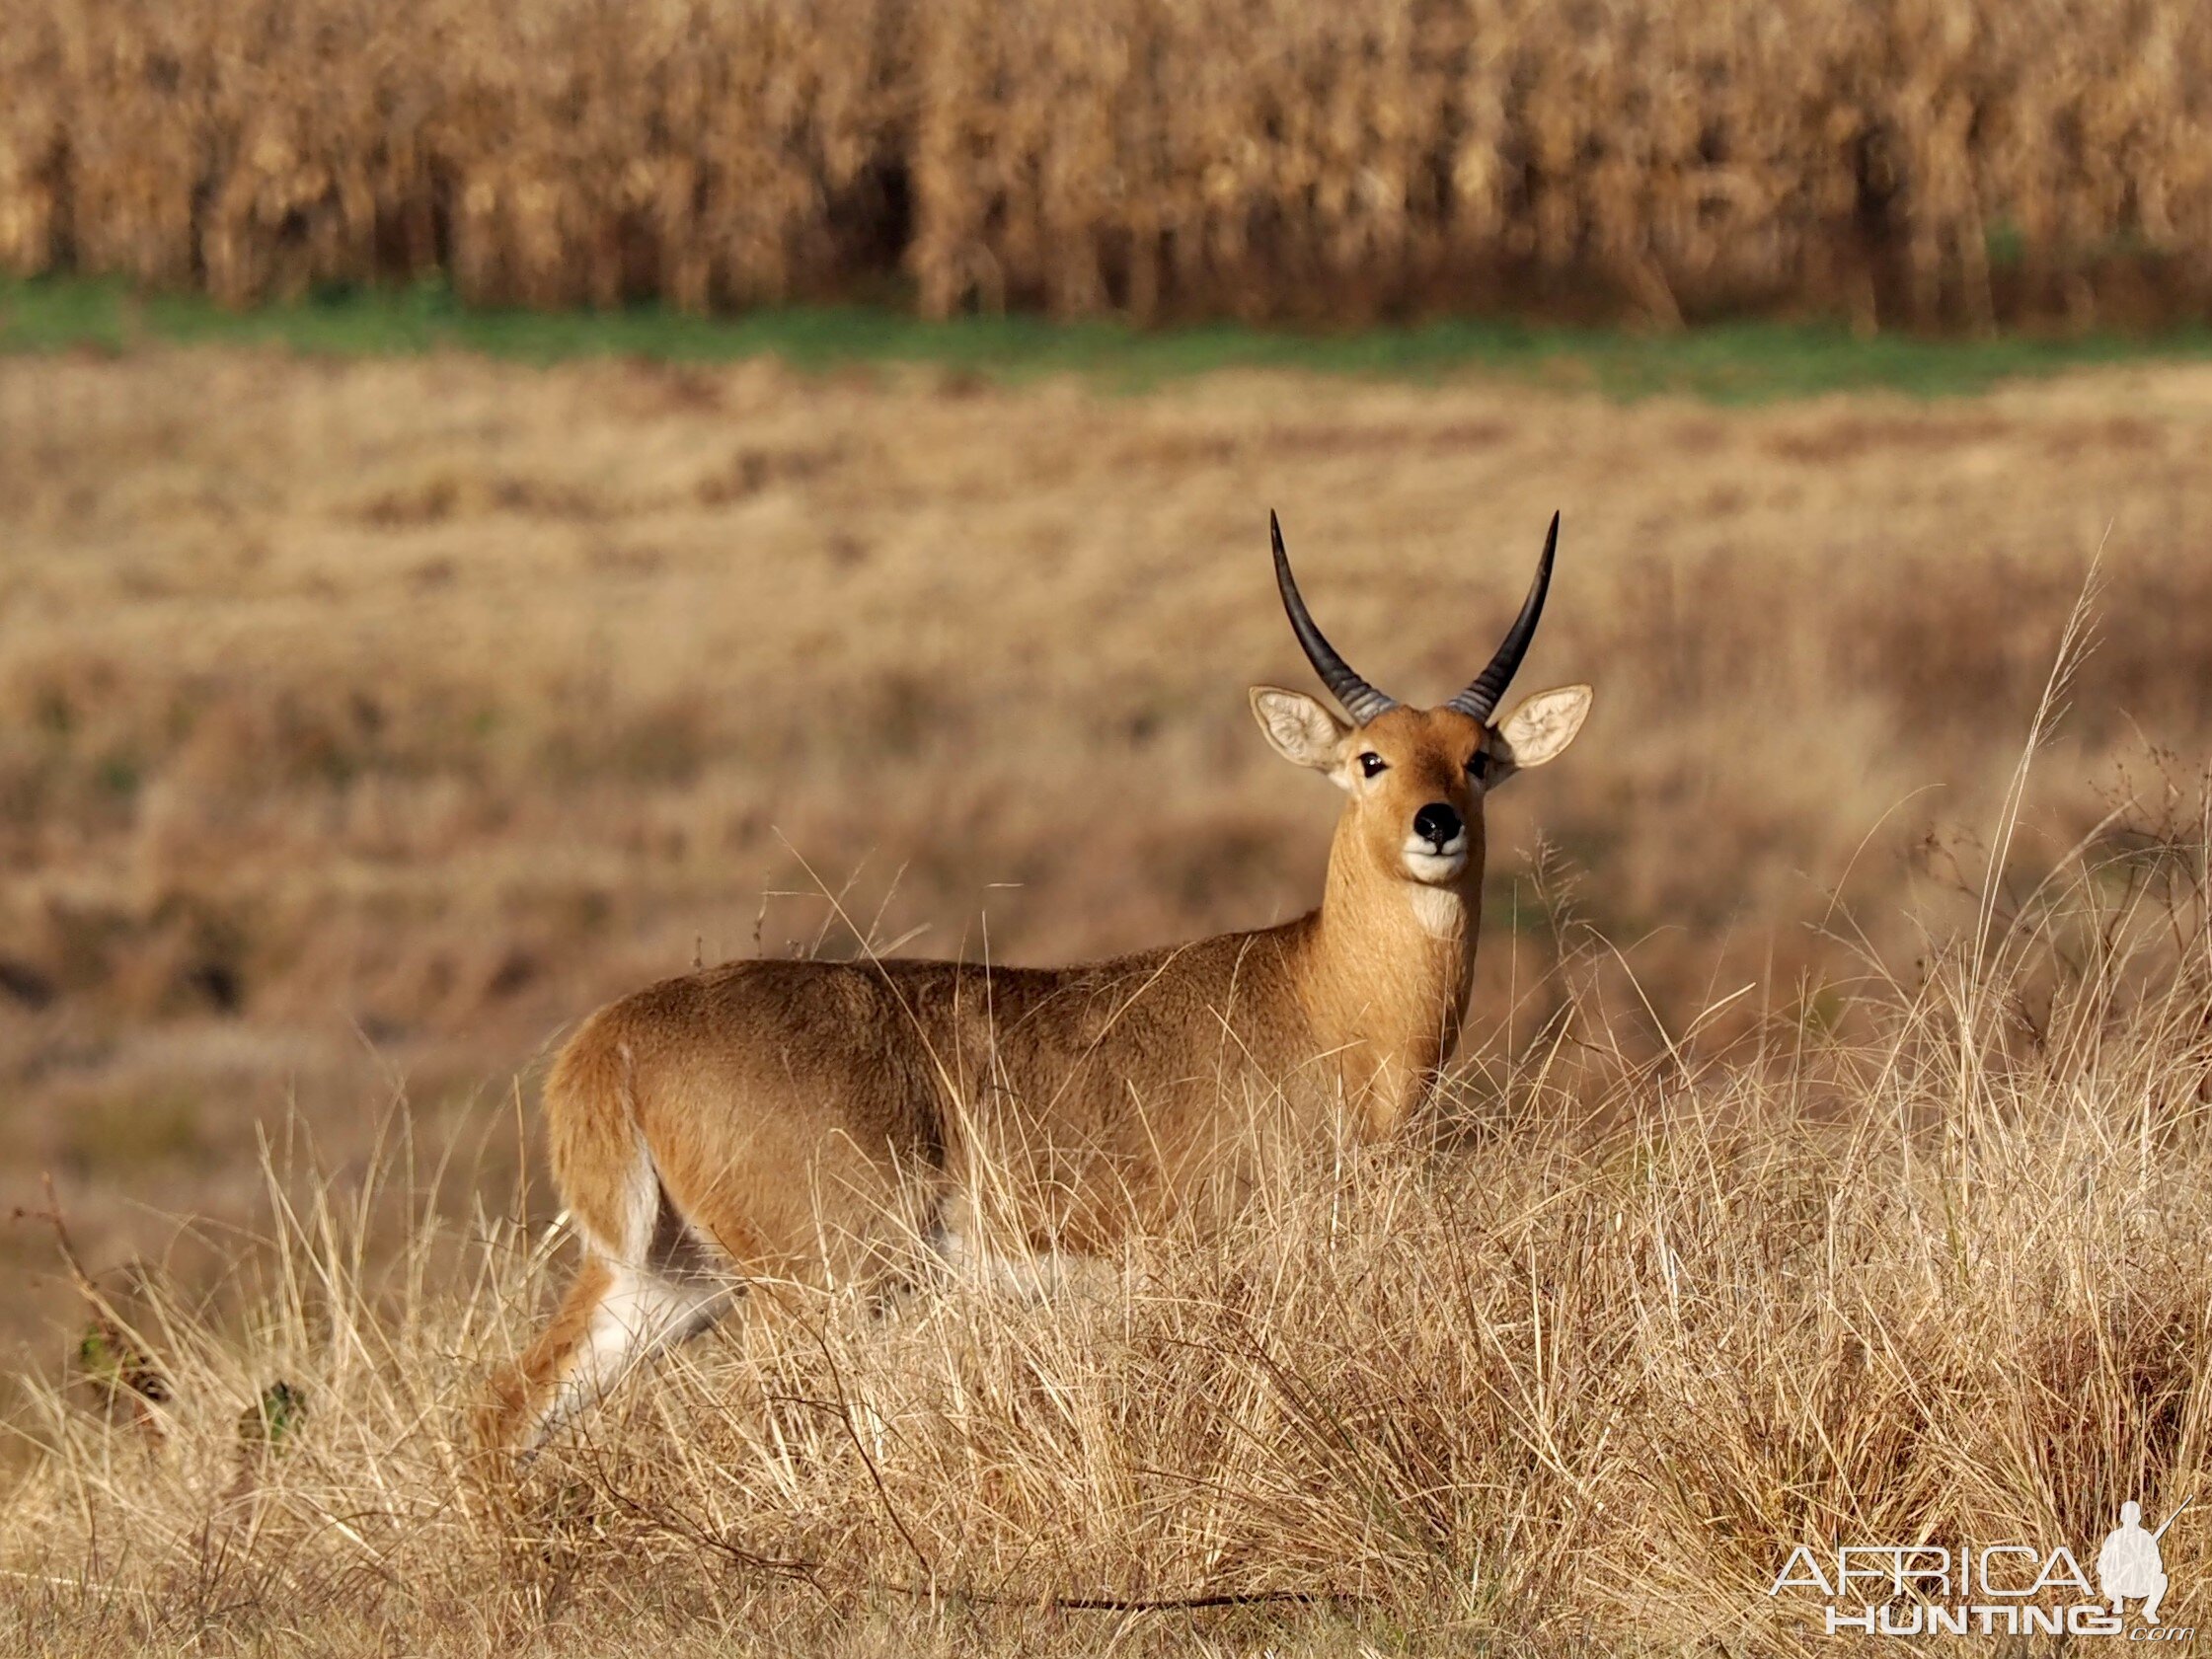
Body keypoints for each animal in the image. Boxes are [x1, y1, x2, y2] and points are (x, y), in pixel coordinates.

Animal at [484, 517, 1592, 1451]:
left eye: (1478, 758)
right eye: (1371, 758)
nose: (1435, 824)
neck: (1322, 994)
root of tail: (613, 1034)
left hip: (665, 1282)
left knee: (505, 1407)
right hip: (820, 1283)